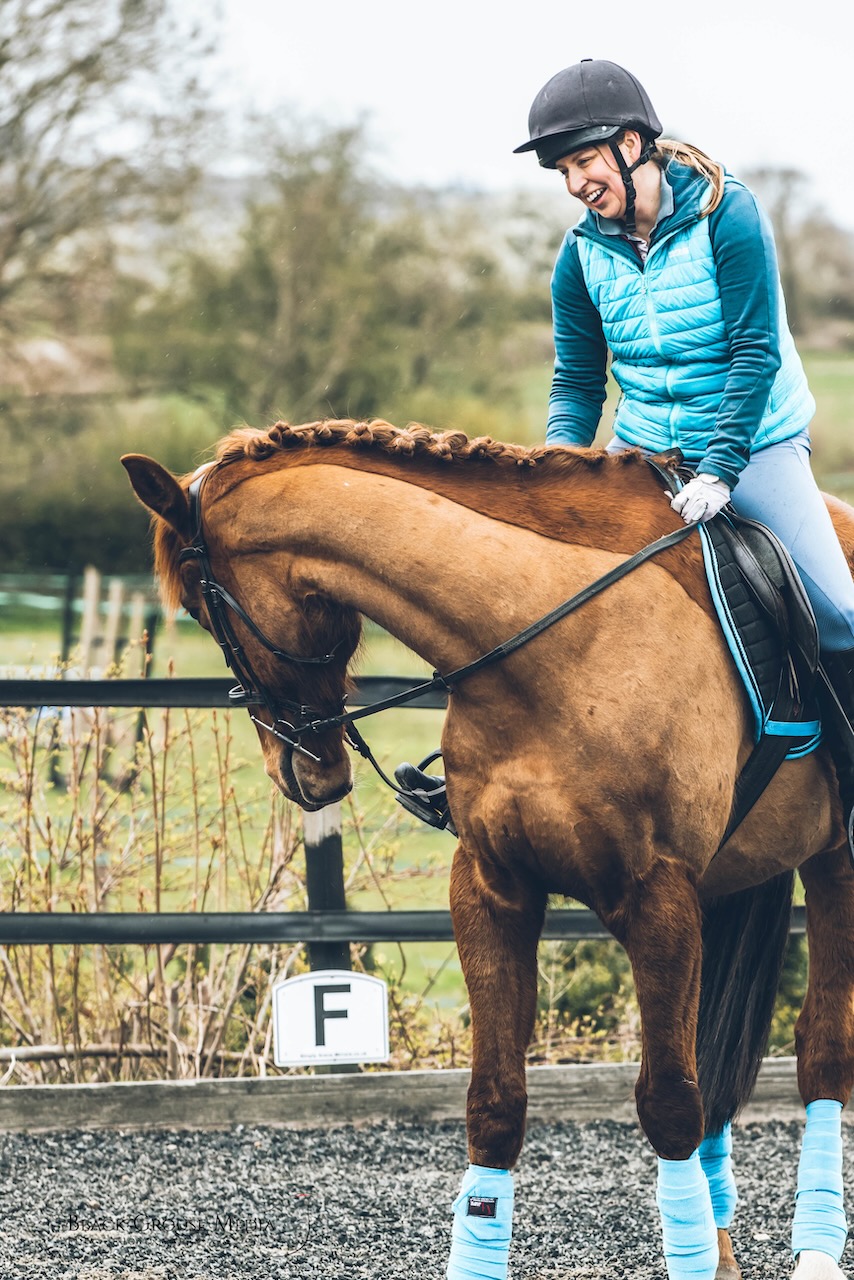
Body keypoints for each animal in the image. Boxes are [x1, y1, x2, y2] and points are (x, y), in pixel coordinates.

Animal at [123, 418, 854, 1280]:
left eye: (206, 613)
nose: (303, 773)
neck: (546, 636)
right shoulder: (490, 887)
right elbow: (496, 1105)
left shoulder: (658, 896)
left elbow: (670, 1103)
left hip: (834, 863)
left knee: (822, 1053)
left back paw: (813, 1252)